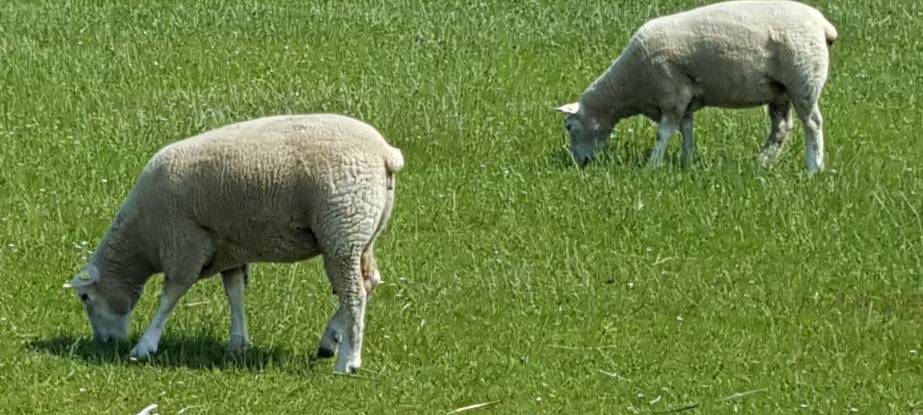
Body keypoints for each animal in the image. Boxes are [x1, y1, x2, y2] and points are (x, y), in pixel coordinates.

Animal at [64, 114, 404, 374]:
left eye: (85, 297)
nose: (106, 344)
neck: (142, 236)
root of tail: (385, 153)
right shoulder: (229, 247)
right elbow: (235, 292)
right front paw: (238, 342)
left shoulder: (184, 243)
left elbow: (170, 297)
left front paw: (145, 345)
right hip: (360, 234)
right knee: (369, 281)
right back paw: (330, 340)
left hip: (342, 228)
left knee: (353, 294)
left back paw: (348, 360)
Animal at [557, 0, 837, 172]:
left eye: (570, 127)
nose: (579, 163)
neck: (630, 84)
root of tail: (823, 24)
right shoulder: (686, 98)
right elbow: (686, 130)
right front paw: (686, 162)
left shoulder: (672, 94)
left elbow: (664, 133)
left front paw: (652, 165)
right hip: (781, 89)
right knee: (781, 127)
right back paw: (763, 162)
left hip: (804, 78)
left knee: (813, 124)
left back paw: (814, 168)